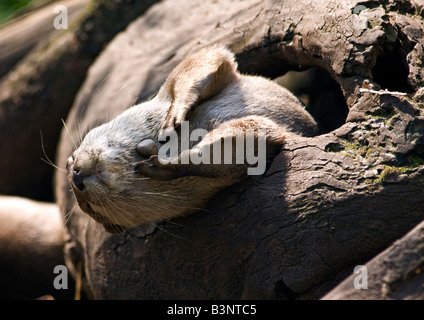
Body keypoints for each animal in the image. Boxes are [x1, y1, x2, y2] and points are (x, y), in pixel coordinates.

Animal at [66, 45, 318, 232]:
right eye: (89, 207)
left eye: (71, 159)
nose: (76, 178)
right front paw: (168, 164)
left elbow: (202, 62)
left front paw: (174, 116)